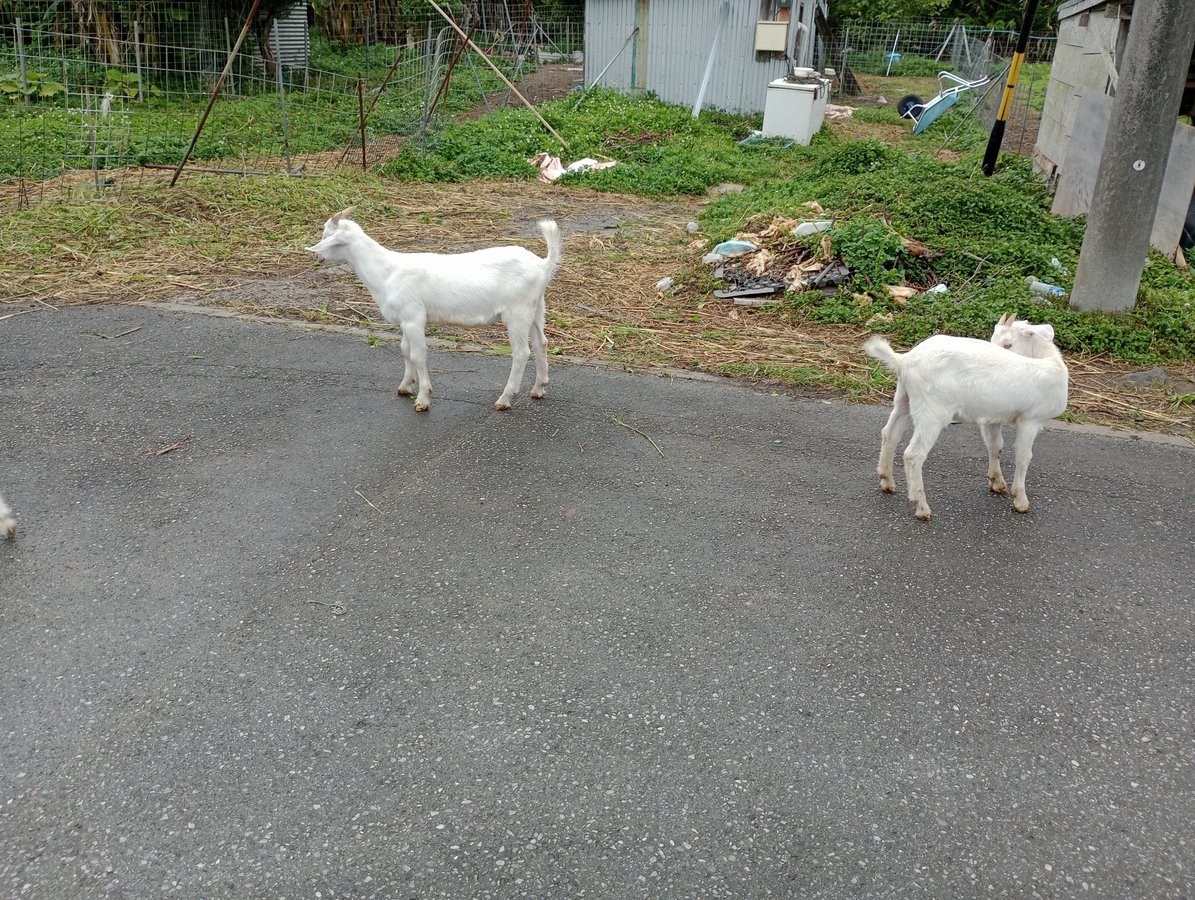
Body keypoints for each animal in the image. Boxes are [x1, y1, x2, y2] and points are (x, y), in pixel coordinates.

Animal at [307, 208, 563, 411]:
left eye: (327, 236)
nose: (318, 257)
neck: (387, 271)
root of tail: (543, 264)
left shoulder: (414, 317)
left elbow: (418, 355)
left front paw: (423, 398)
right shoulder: (405, 319)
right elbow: (404, 350)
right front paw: (405, 386)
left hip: (517, 312)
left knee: (521, 353)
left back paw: (505, 398)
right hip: (536, 307)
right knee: (541, 343)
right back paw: (538, 388)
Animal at [864, 314, 1068, 520]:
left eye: (1008, 344)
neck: (1049, 363)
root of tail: (904, 360)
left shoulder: (991, 417)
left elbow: (996, 446)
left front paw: (997, 482)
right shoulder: (1031, 420)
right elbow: (1024, 456)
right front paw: (1020, 500)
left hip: (904, 398)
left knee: (890, 434)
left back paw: (887, 481)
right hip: (931, 410)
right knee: (913, 455)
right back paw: (921, 506)